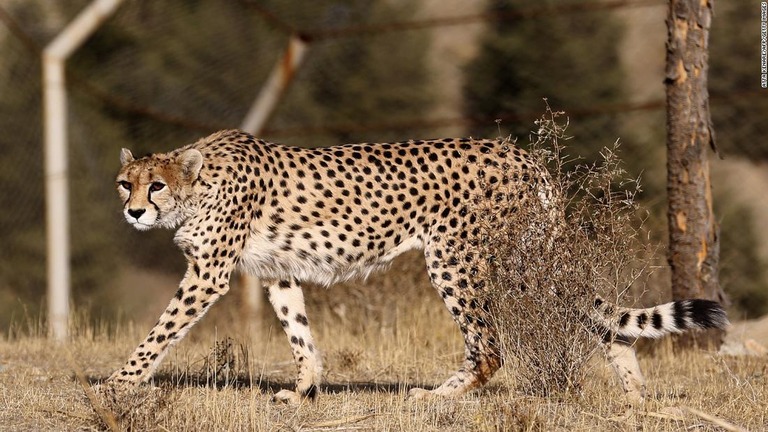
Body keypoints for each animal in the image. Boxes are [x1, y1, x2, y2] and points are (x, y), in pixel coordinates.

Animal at [111, 129, 728, 404]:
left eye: (155, 185)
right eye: (125, 182)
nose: (133, 211)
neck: (198, 183)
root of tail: (522, 154)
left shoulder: (209, 273)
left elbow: (160, 331)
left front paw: (117, 384)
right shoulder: (277, 271)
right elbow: (299, 332)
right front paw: (303, 388)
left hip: (463, 258)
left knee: (492, 345)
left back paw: (438, 396)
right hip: (524, 259)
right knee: (599, 320)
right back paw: (635, 395)